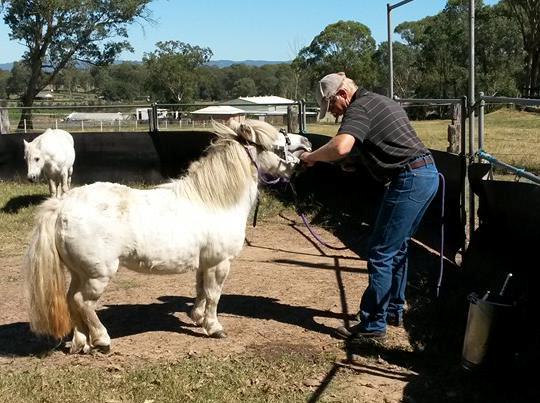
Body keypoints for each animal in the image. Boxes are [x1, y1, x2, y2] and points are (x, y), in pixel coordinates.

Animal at [24, 120, 312, 354]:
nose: (307, 143)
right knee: (82, 302)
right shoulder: (219, 263)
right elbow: (214, 295)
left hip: (79, 272)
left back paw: (81, 342)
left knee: (70, 301)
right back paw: (102, 340)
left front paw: (196, 316)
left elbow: (200, 290)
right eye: (280, 143)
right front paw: (214, 327)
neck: (215, 201)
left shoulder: (204, 263)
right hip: (97, 275)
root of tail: (62, 206)